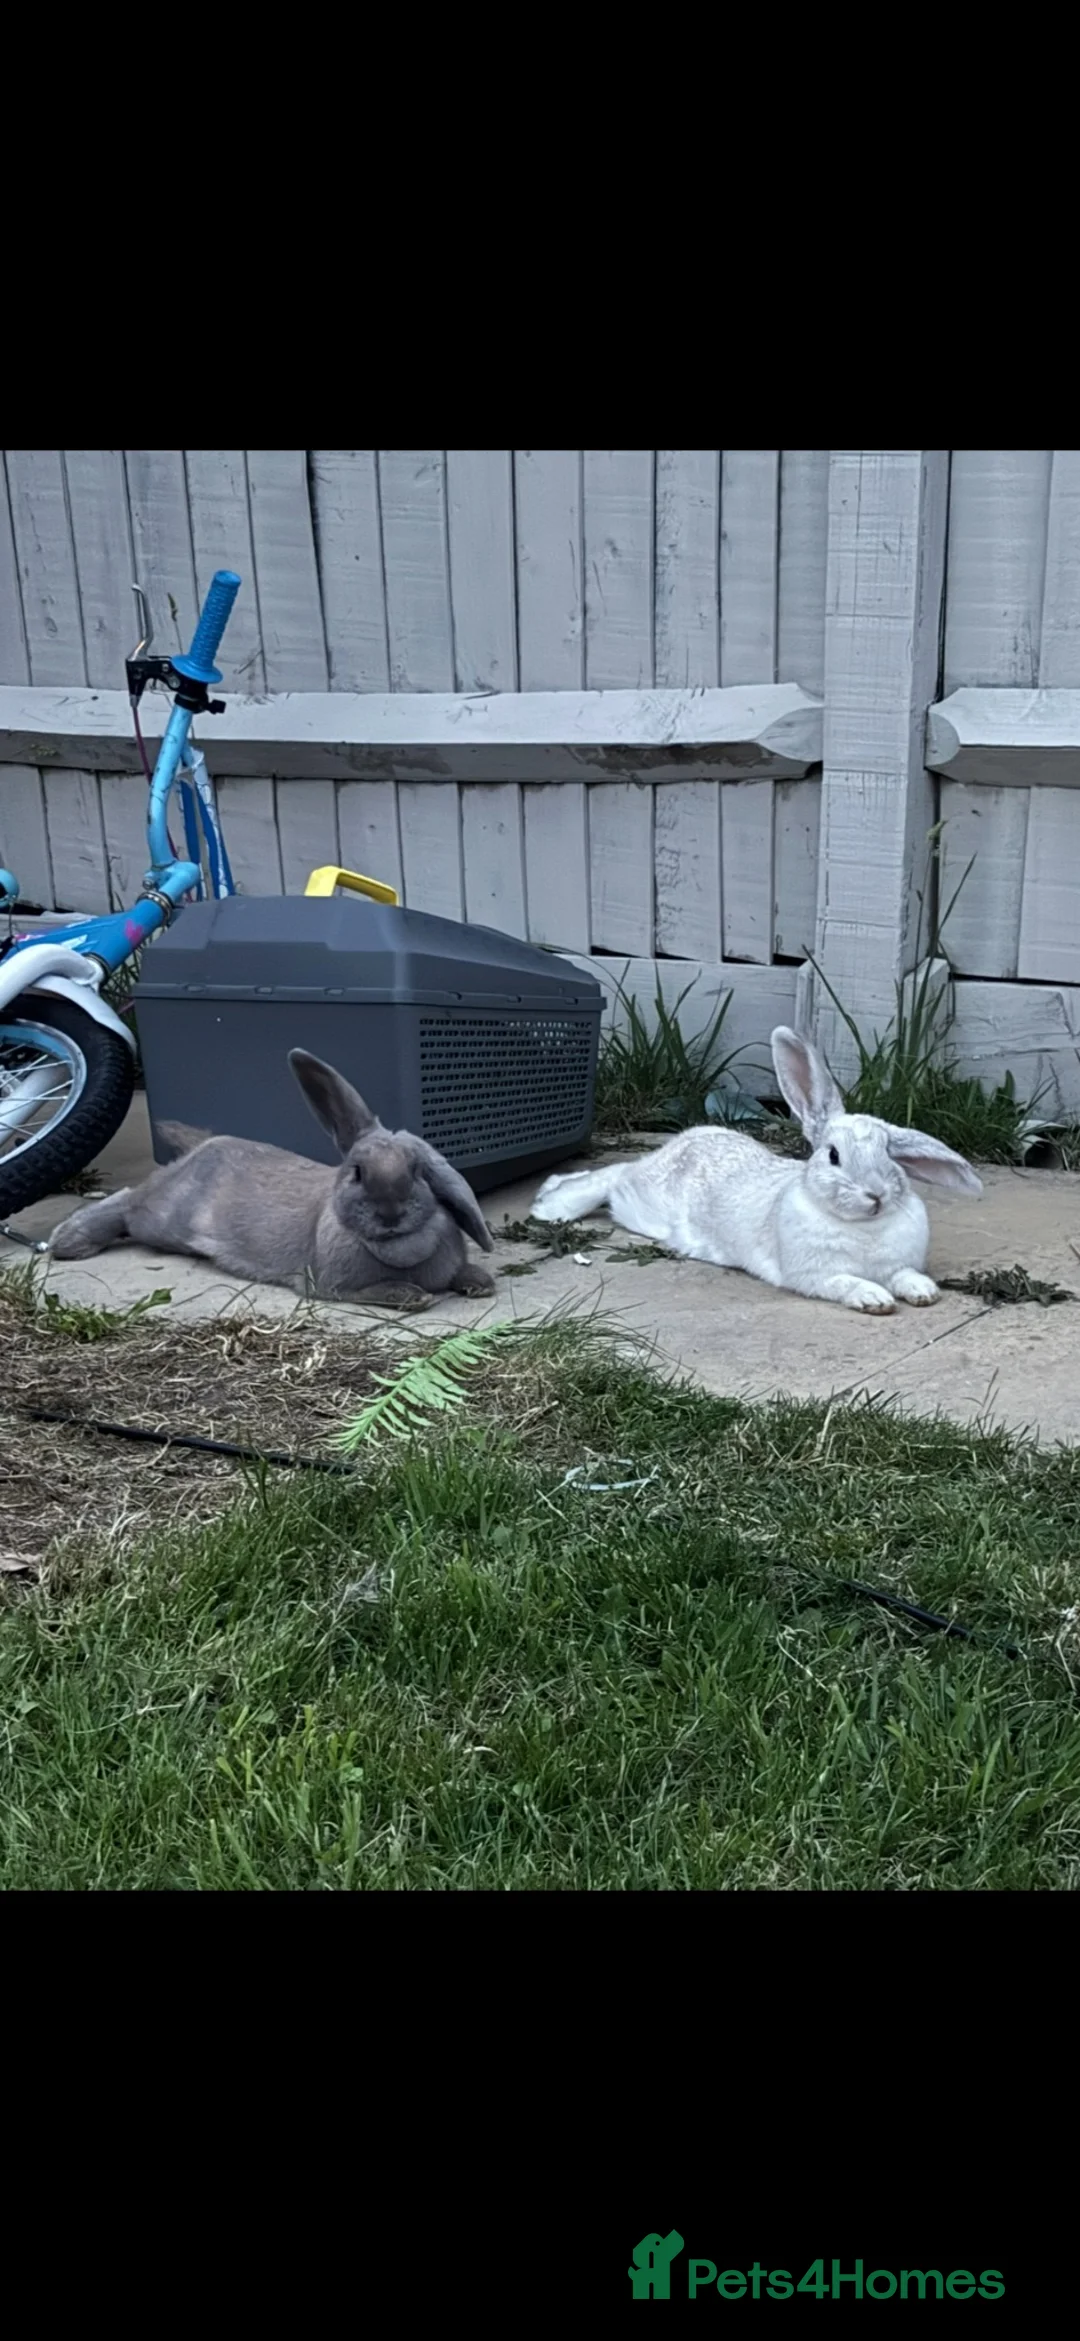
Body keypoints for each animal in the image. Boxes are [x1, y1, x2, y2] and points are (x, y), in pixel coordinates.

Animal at [50, 1048, 496, 1310]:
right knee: (127, 1200)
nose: (390, 1214)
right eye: (357, 1172)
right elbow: (381, 1293)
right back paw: (68, 1242)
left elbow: (463, 1276)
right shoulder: (330, 1285)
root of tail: (202, 1146)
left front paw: (480, 1283)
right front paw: (411, 1295)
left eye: (418, 1171)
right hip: (159, 1219)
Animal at [530, 1025, 982, 1314]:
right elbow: (846, 1283)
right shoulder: (814, 1276)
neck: (862, 1226)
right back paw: (549, 1205)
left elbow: (905, 1275)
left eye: (889, 1156)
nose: (876, 1195)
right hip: (641, 1201)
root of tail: (686, 1138)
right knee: (615, 1175)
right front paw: (875, 1300)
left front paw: (924, 1292)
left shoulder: (896, 1265)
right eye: (833, 1155)